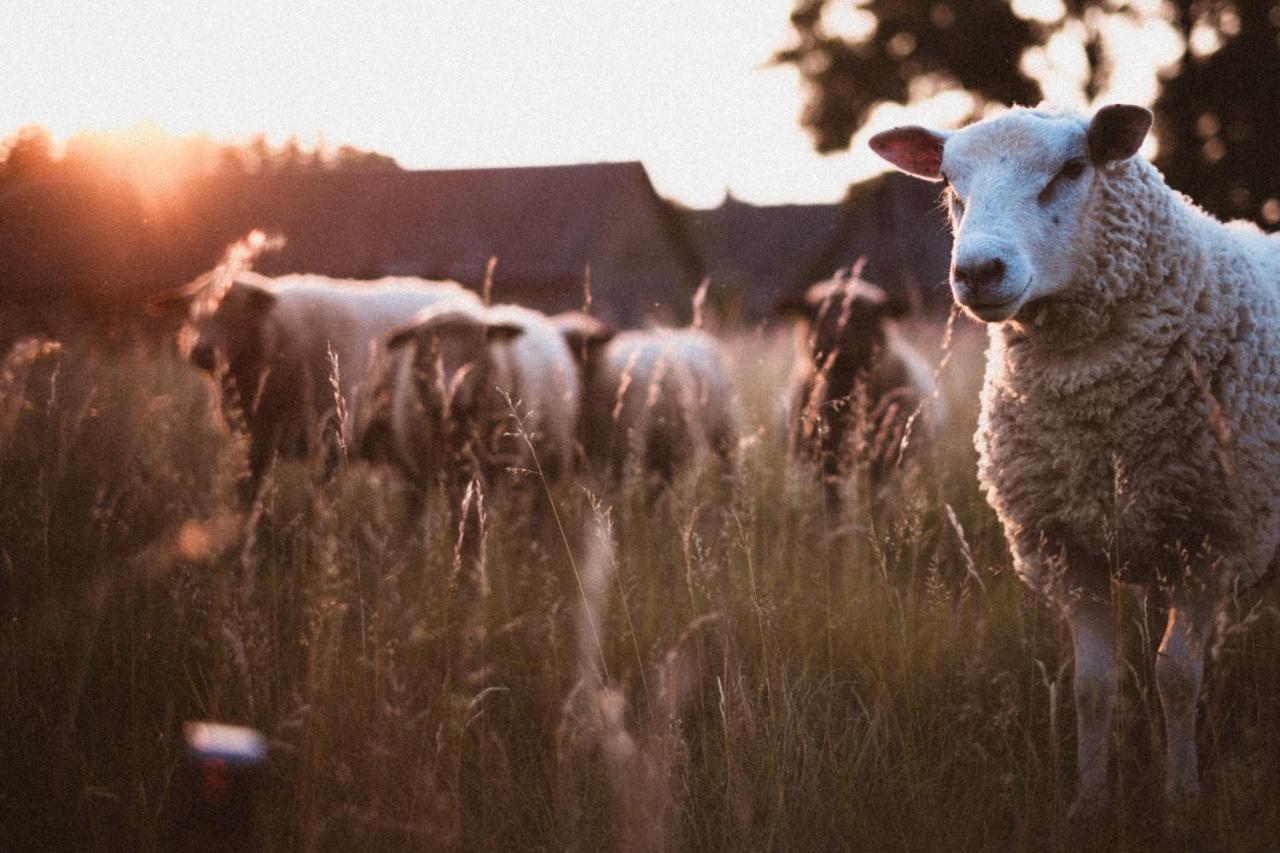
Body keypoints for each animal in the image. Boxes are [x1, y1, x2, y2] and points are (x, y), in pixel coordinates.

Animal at [552, 311, 742, 484]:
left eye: (571, 344)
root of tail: (699, 335)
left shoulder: (626, 452)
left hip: (726, 431)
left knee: (730, 466)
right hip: (671, 446)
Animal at [870, 104, 1280, 819]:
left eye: (1071, 168)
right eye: (948, 182)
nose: (978, 271)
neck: (1101, 409)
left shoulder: (1215, 539)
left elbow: (1177, 675)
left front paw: (1181, 800)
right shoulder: (1068, 547)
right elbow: (1093, 683)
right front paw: (1089, 803)